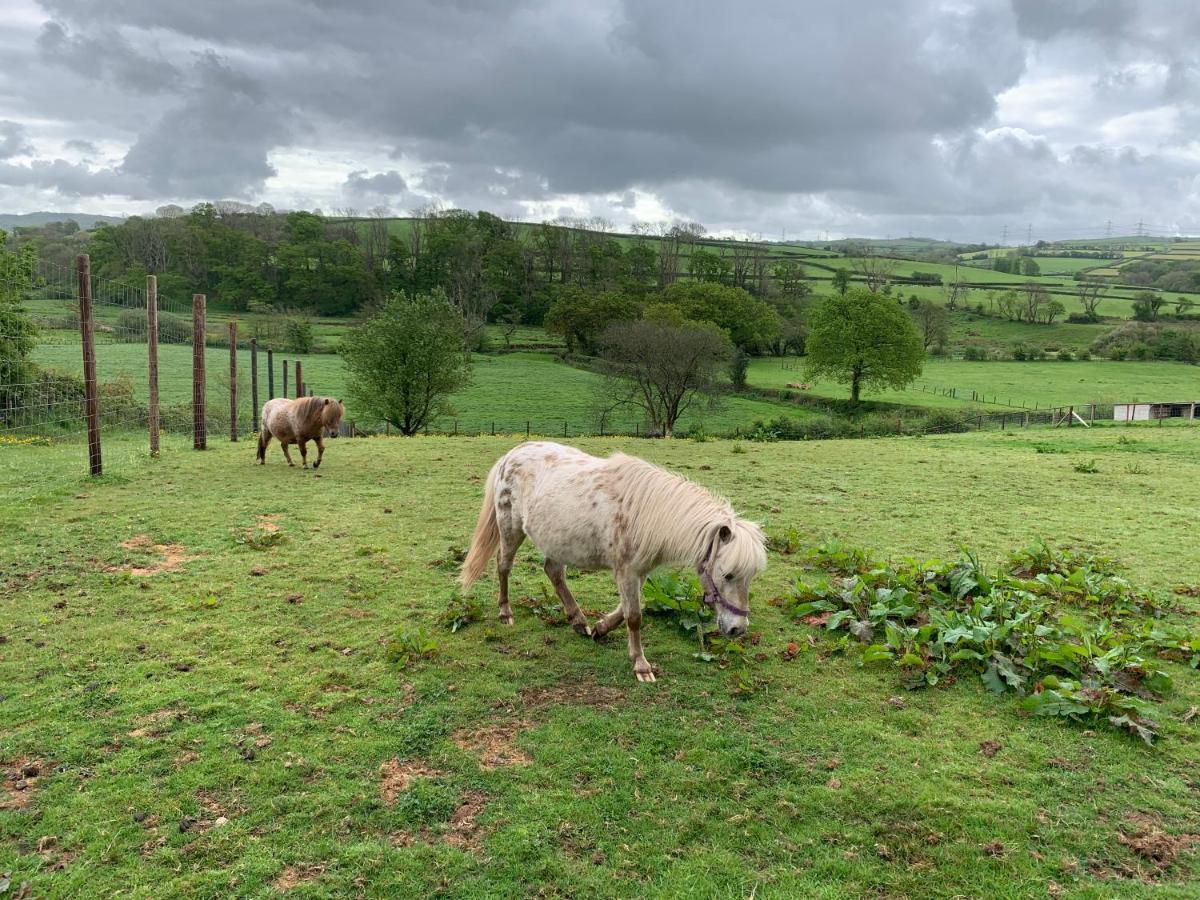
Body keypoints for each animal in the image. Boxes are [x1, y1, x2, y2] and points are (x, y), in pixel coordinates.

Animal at [458, 444, 768, 681]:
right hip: (510, 529)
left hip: (555, 540)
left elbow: (625, 609)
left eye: (750, 577)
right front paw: (641, 666)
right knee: (503, 566)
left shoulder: (637, 571)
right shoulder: (628, 571)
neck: (646, 513)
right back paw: (505, 612)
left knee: (554, 572)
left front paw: (600, 628)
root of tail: (510, 455)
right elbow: (634, 617)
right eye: (727, 575)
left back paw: (578, 621)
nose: (738, 629)